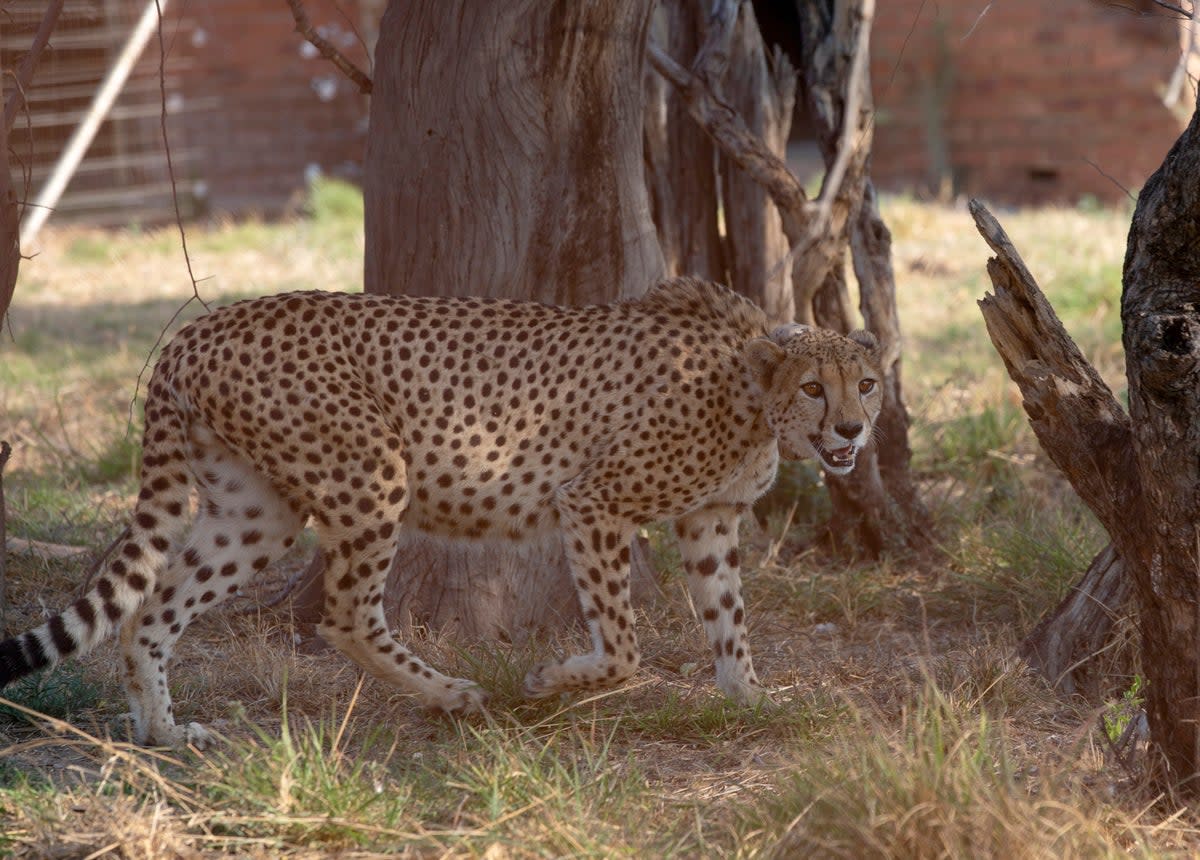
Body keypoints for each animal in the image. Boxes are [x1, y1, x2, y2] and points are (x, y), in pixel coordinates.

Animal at [0, 277, 883, 743]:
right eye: (816, 387)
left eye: (866, 384)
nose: (853, 430)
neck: (751, 390)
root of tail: (205, 323)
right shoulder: (592, 500)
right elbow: (625, 647)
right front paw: (553, 679)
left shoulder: (711, 519)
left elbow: (729, 619)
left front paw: (752, 699)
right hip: (372, 472)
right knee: (346, 615)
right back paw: (451, 693)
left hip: (258, 511)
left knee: (151, 609)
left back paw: (161, 732)